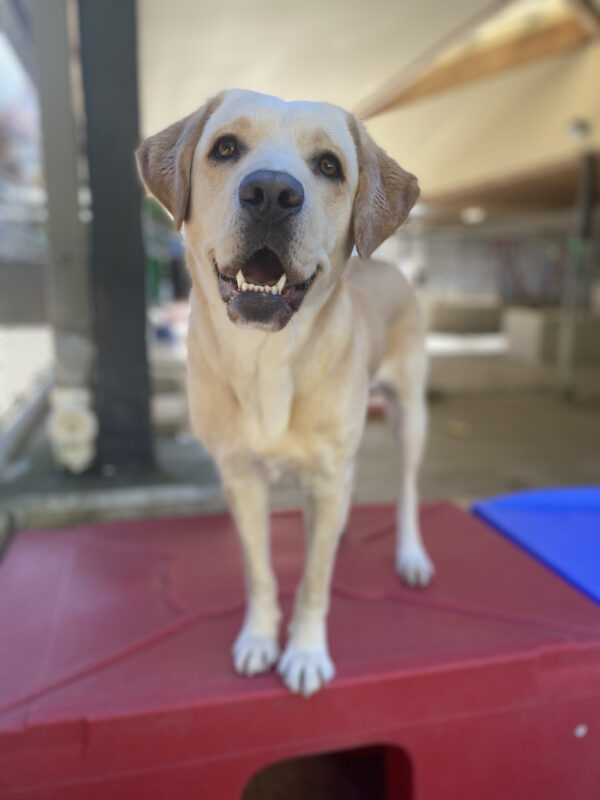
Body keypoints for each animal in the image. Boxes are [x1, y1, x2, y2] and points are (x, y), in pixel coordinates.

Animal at [138, 92, 434, 692]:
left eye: (329, 166)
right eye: (225, 148)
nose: (271, 193)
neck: (265, 357)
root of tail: (390, 266)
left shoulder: (327, 473)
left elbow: (315, 581)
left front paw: (305, 650)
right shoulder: (241, 478)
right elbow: (260, 572)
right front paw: (258, 638)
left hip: (409, 416)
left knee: (406, 490)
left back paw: (410, 554)